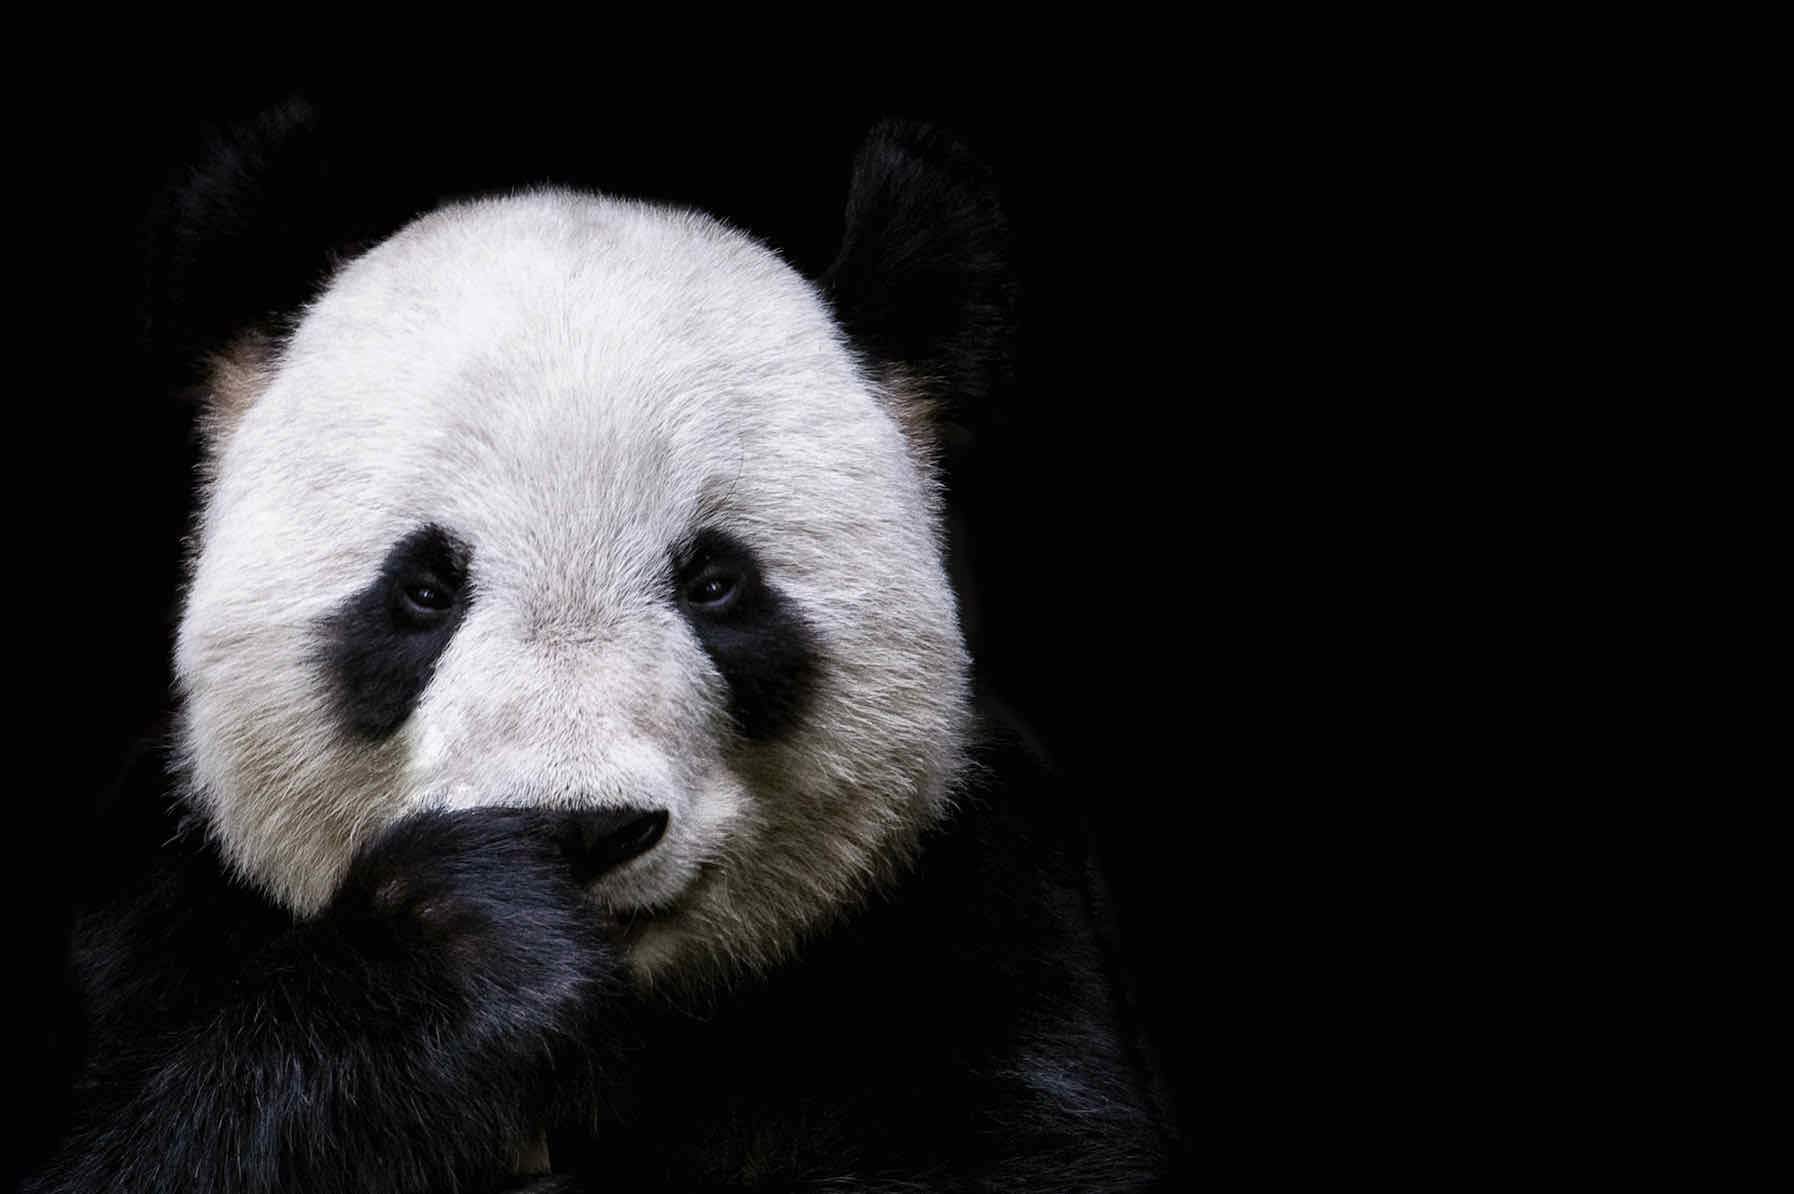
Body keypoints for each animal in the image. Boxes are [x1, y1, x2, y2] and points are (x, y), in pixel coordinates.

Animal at [30, 105, 1172, 1192]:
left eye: (715, 584)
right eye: (423, 591)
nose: (578, 828)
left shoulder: (979, 910)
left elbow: (1028, 1148)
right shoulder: (153, 916)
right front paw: (466, 948)